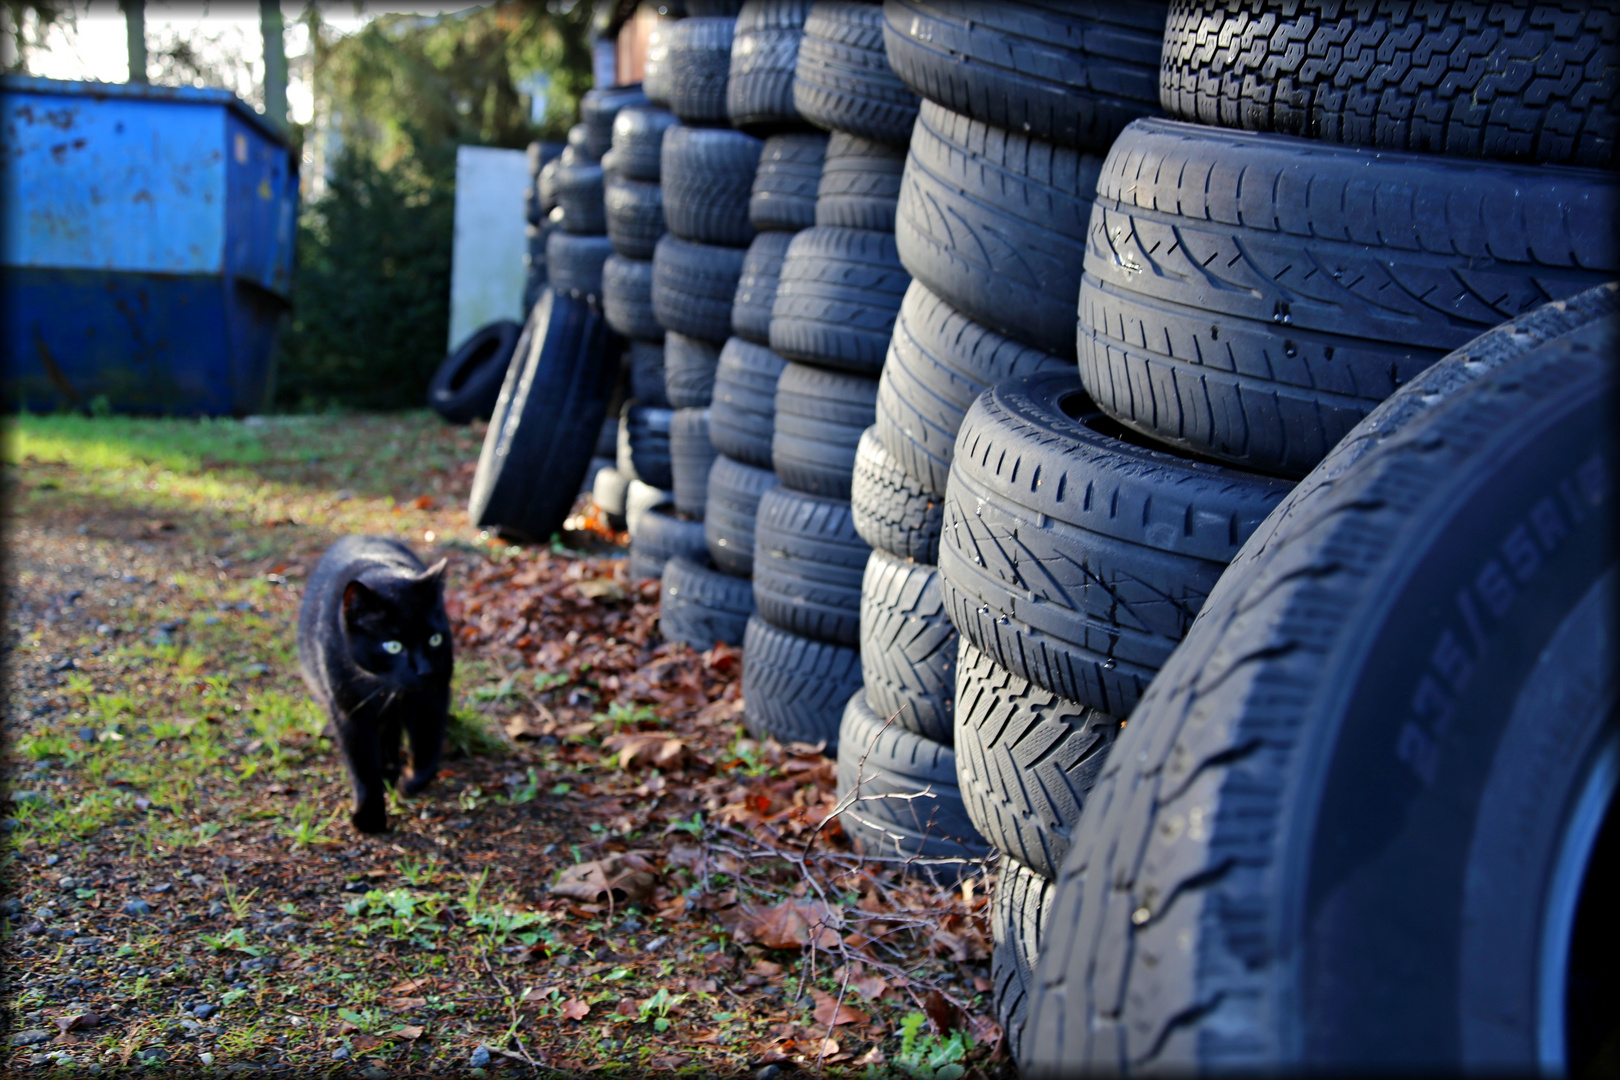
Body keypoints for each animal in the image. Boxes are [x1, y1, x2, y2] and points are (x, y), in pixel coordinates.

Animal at [294, 537, 450, 835]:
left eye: (434, 639)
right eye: (393, 646)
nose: (424, 670)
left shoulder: (431, 698)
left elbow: (427, 751)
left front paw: (407, 784)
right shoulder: (349, 712)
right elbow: (362, 766)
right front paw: (370, 816)